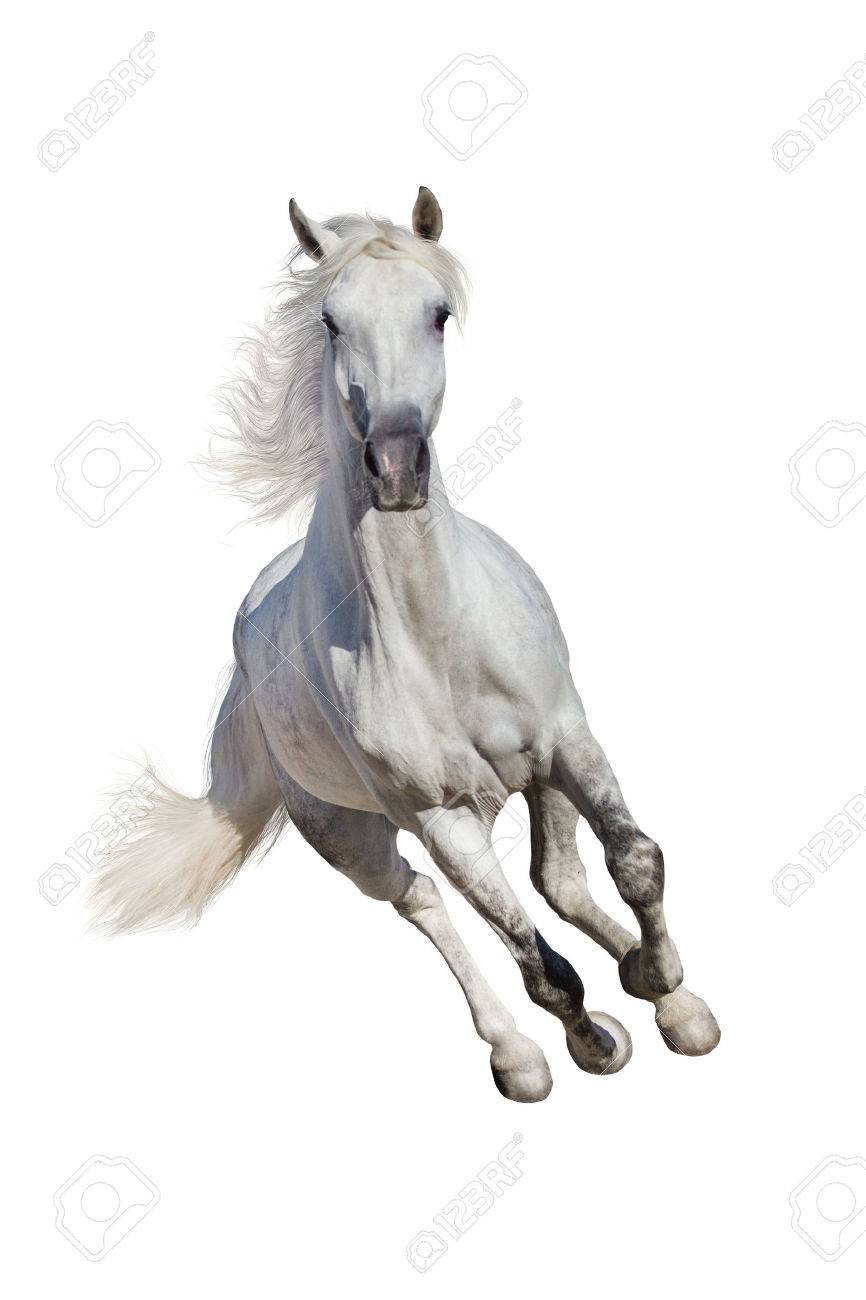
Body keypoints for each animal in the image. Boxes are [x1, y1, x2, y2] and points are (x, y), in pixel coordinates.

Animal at [91, 187, 720, 1102]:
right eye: (330, 321)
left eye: (438, 313)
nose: (394, 468)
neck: (437, 637)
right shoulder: (440, 817)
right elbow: (538, 964)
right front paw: (595, 1043)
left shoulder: (567, 739)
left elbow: (636, 859)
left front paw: (671, 994)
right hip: (352, 836)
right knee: (423, 900)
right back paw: (518, 1055)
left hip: (535, 779)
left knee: (559, 881)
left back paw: (648, 981)